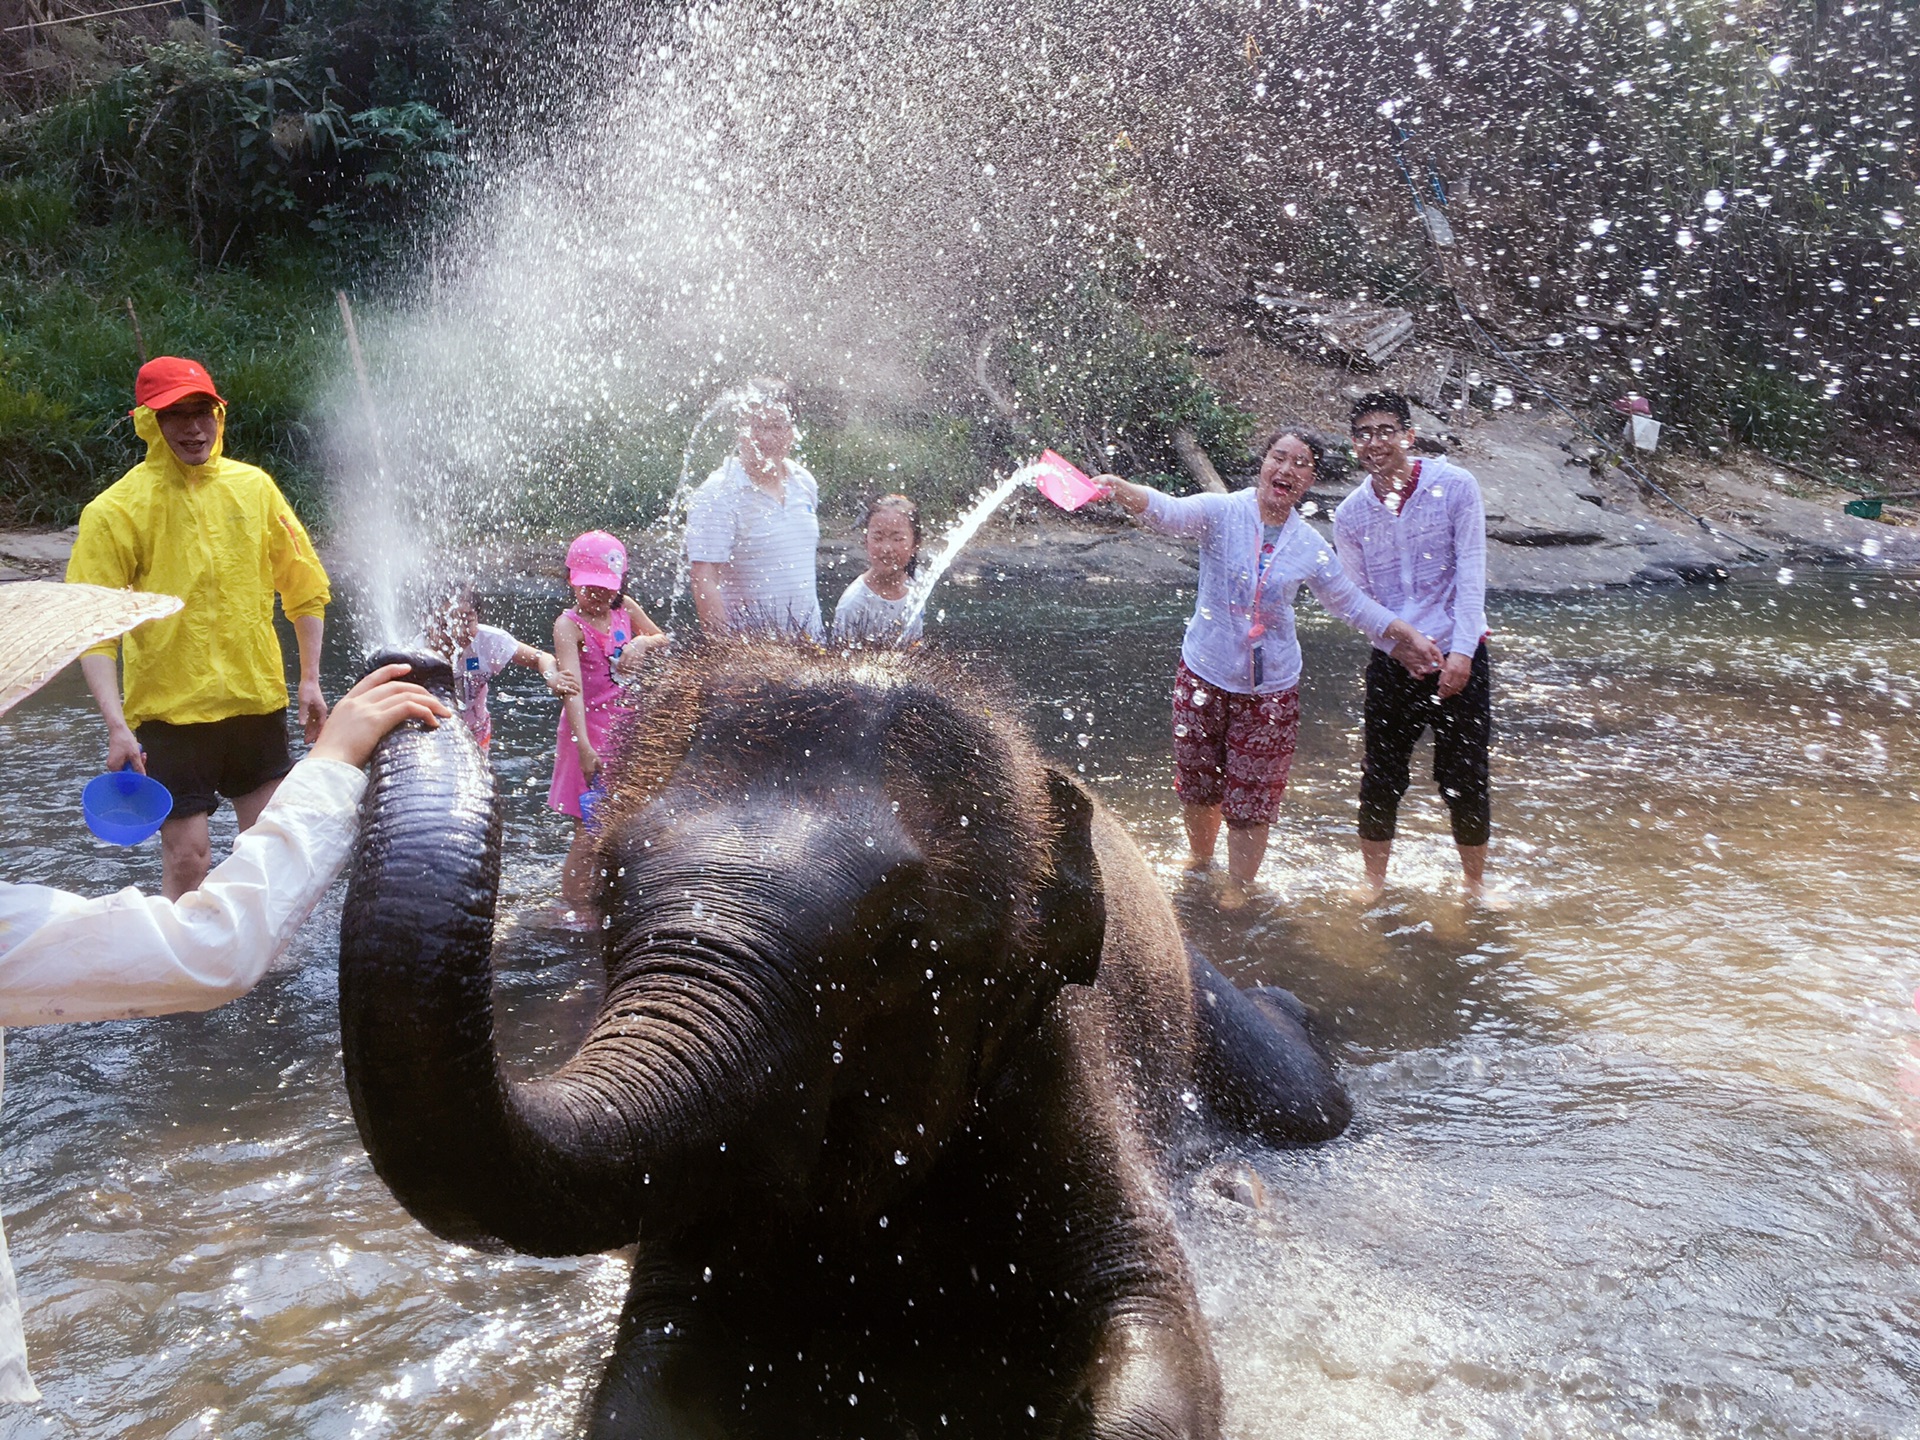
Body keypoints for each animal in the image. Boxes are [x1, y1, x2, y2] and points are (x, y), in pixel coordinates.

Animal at [337, 648, 1351, 1436]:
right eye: (610, 889)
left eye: (902, 940)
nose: (418, 675)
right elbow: (647, 1373)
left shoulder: (1053, 1068)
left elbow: (1157, 1330)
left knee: (1303, 1102)